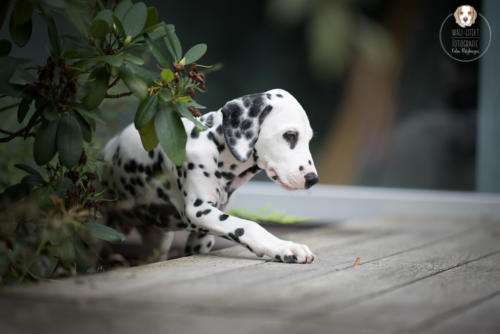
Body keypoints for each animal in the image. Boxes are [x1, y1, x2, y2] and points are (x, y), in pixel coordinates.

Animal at [101, 88, 318, 264]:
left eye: (309, 139)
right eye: (290, 135)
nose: (312, 179)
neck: (213, 147)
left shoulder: (203, 234)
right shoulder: (199, 211)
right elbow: (248, 226)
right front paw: (284, 247)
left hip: (157, 241)